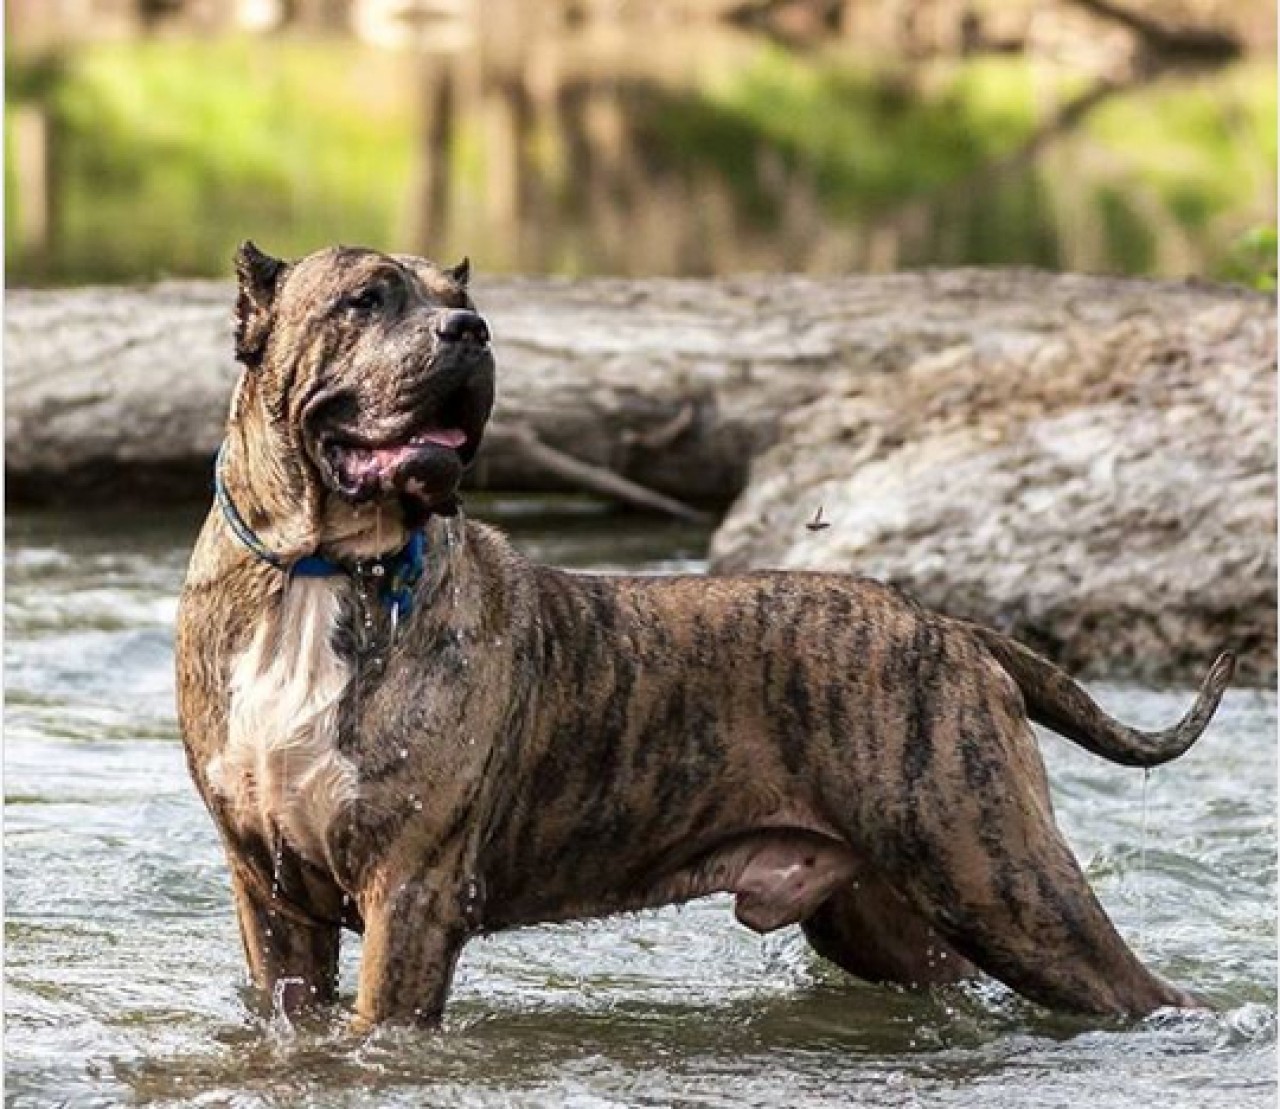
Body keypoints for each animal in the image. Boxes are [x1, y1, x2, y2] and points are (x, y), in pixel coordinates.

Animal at [175, 242, 1233, 1029]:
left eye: (458, 300)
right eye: (365, 299)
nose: (469, 330)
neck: (316, 573)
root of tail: (950, 625)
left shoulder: (413, 893)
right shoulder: (271, 896)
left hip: (1005, 883)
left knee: (1146, 989)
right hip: (896, 917)